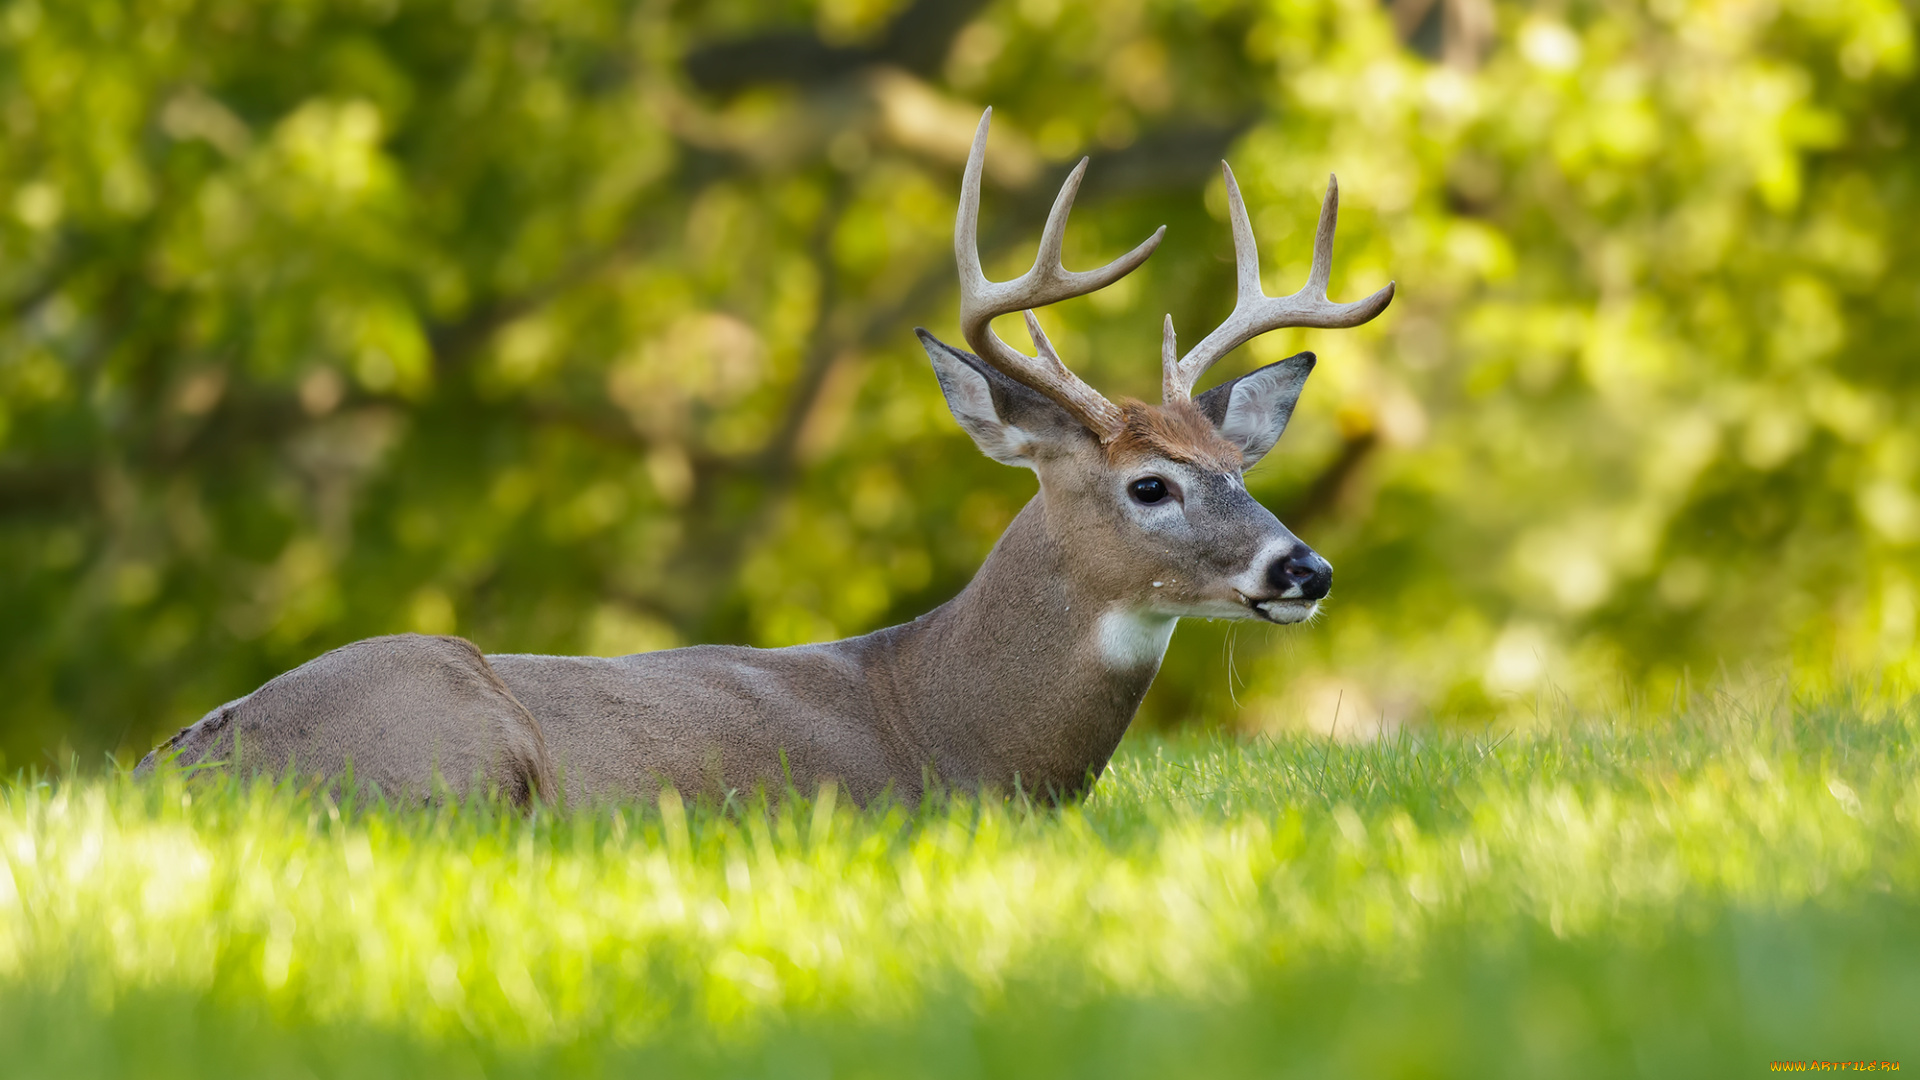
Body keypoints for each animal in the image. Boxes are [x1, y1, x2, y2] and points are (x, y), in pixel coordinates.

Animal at [139, 111, 1397, 807]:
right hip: (453, 731)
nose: (1308, 569)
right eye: (1150, 484)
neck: (950, 731)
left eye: (1239, 470)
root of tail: (183, 766)